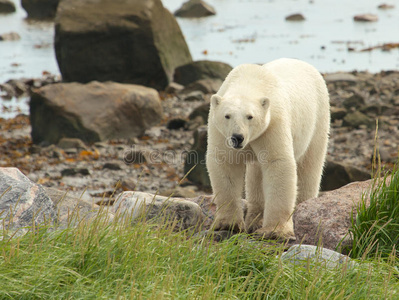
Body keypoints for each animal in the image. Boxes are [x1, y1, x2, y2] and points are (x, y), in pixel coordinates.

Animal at [206, 57, 332, 239]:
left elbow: (278, 162)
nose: (237, 137)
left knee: (310, 166)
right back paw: (255, 220)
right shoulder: (220, 132)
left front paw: (275, 231)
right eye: (227, 115)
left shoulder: (272, 123)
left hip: (318, 119)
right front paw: (228, 224)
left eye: (250, 116)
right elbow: (225, 163)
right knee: (256, 175)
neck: (249, 80)